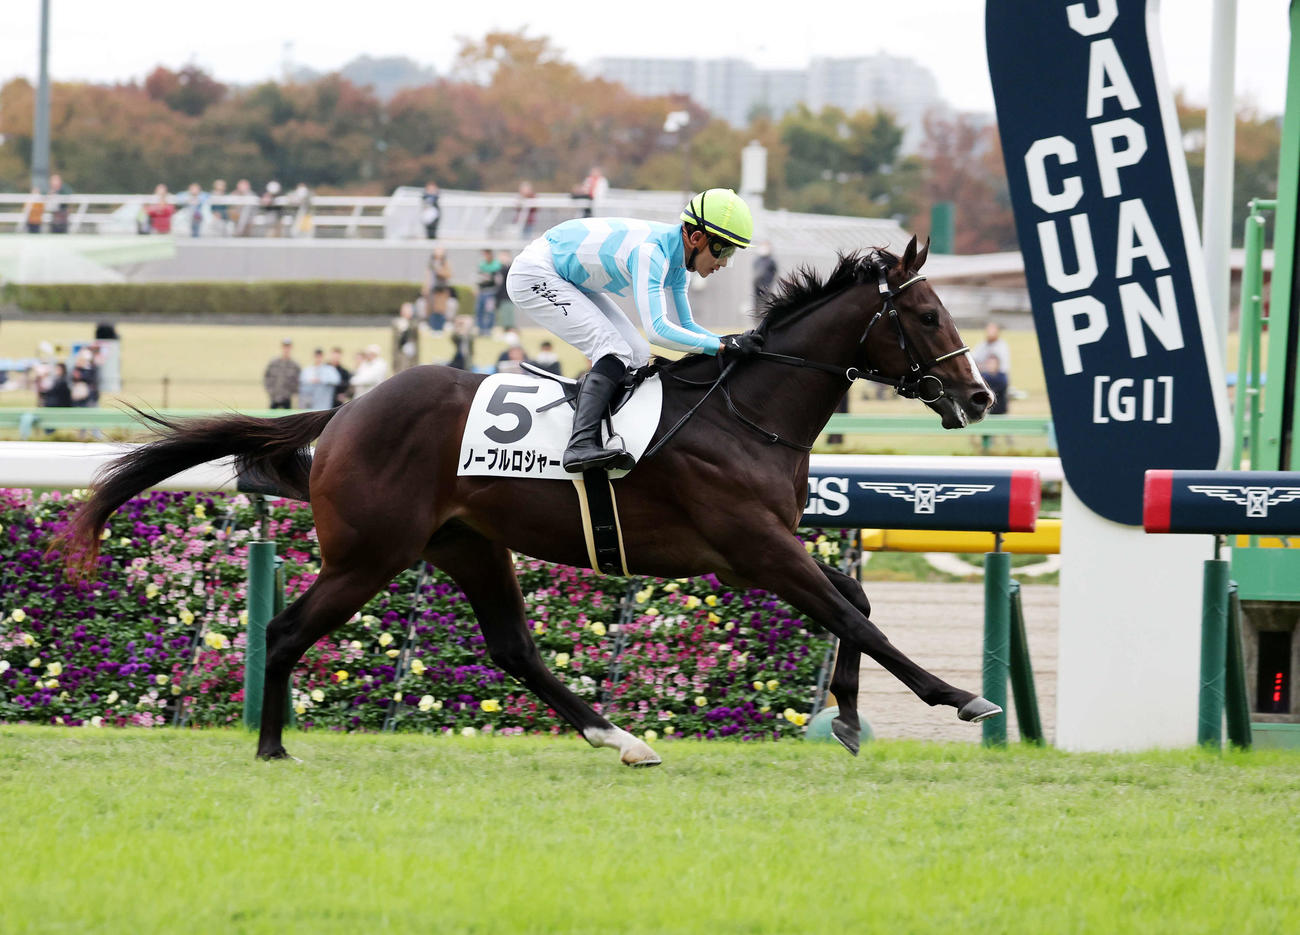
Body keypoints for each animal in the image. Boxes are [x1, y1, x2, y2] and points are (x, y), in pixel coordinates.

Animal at [55, 235, 1000, 765]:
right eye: (924, 313)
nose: (981, 395)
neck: (746, 414)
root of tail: (347, 407)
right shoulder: (756, 547)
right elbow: (853, 616)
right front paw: (958, 697)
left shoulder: (764, 547)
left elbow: (857, 602)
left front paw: (849, 715)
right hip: (370, 552)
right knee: (287, 630)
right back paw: (272, 743)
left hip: (469, 543)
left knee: (513, 646)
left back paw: (622, 739)